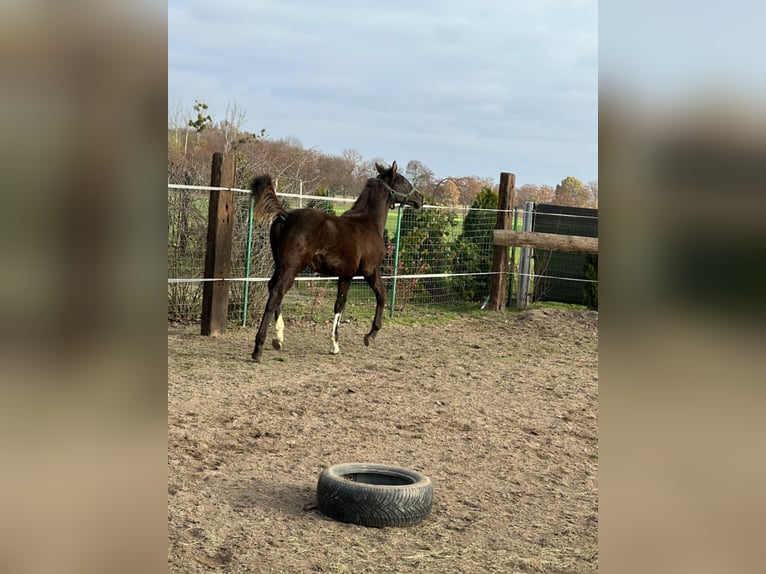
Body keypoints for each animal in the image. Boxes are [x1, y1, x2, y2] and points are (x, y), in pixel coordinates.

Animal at [250, 160, 426, 362]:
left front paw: (334, 345)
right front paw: (370, 335)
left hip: (279, 265)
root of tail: (286, 216)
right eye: (403, 180)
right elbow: (381, 296)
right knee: (276, 294)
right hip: (291, 267)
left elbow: (340, 304)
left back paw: (278, 339)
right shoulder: (371, 270)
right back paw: (259, 348)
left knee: (272, 288)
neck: (368, 223)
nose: (421, 199)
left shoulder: (346, 275)